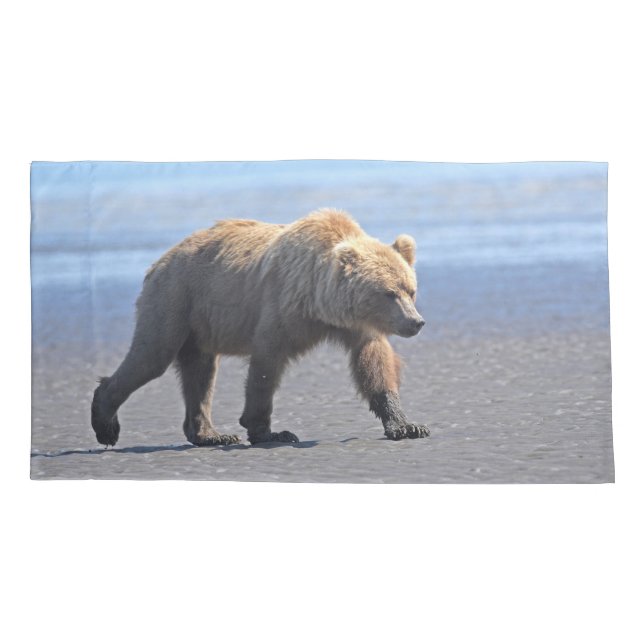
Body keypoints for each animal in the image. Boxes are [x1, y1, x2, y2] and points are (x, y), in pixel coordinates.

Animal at [91, 208, 429, 446]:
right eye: (388, 293)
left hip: (198, 323)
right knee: (153, 354)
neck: (320, 302)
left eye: (410, 290)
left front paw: (407, 425)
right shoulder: (281, 306)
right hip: (175, 297)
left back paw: (210, 434)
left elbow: (374, 364)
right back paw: (105, 423)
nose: (416, 322)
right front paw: (269, 431)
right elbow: (266, 365)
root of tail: (161, 259)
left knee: (200, 372)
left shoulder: (357, 326)